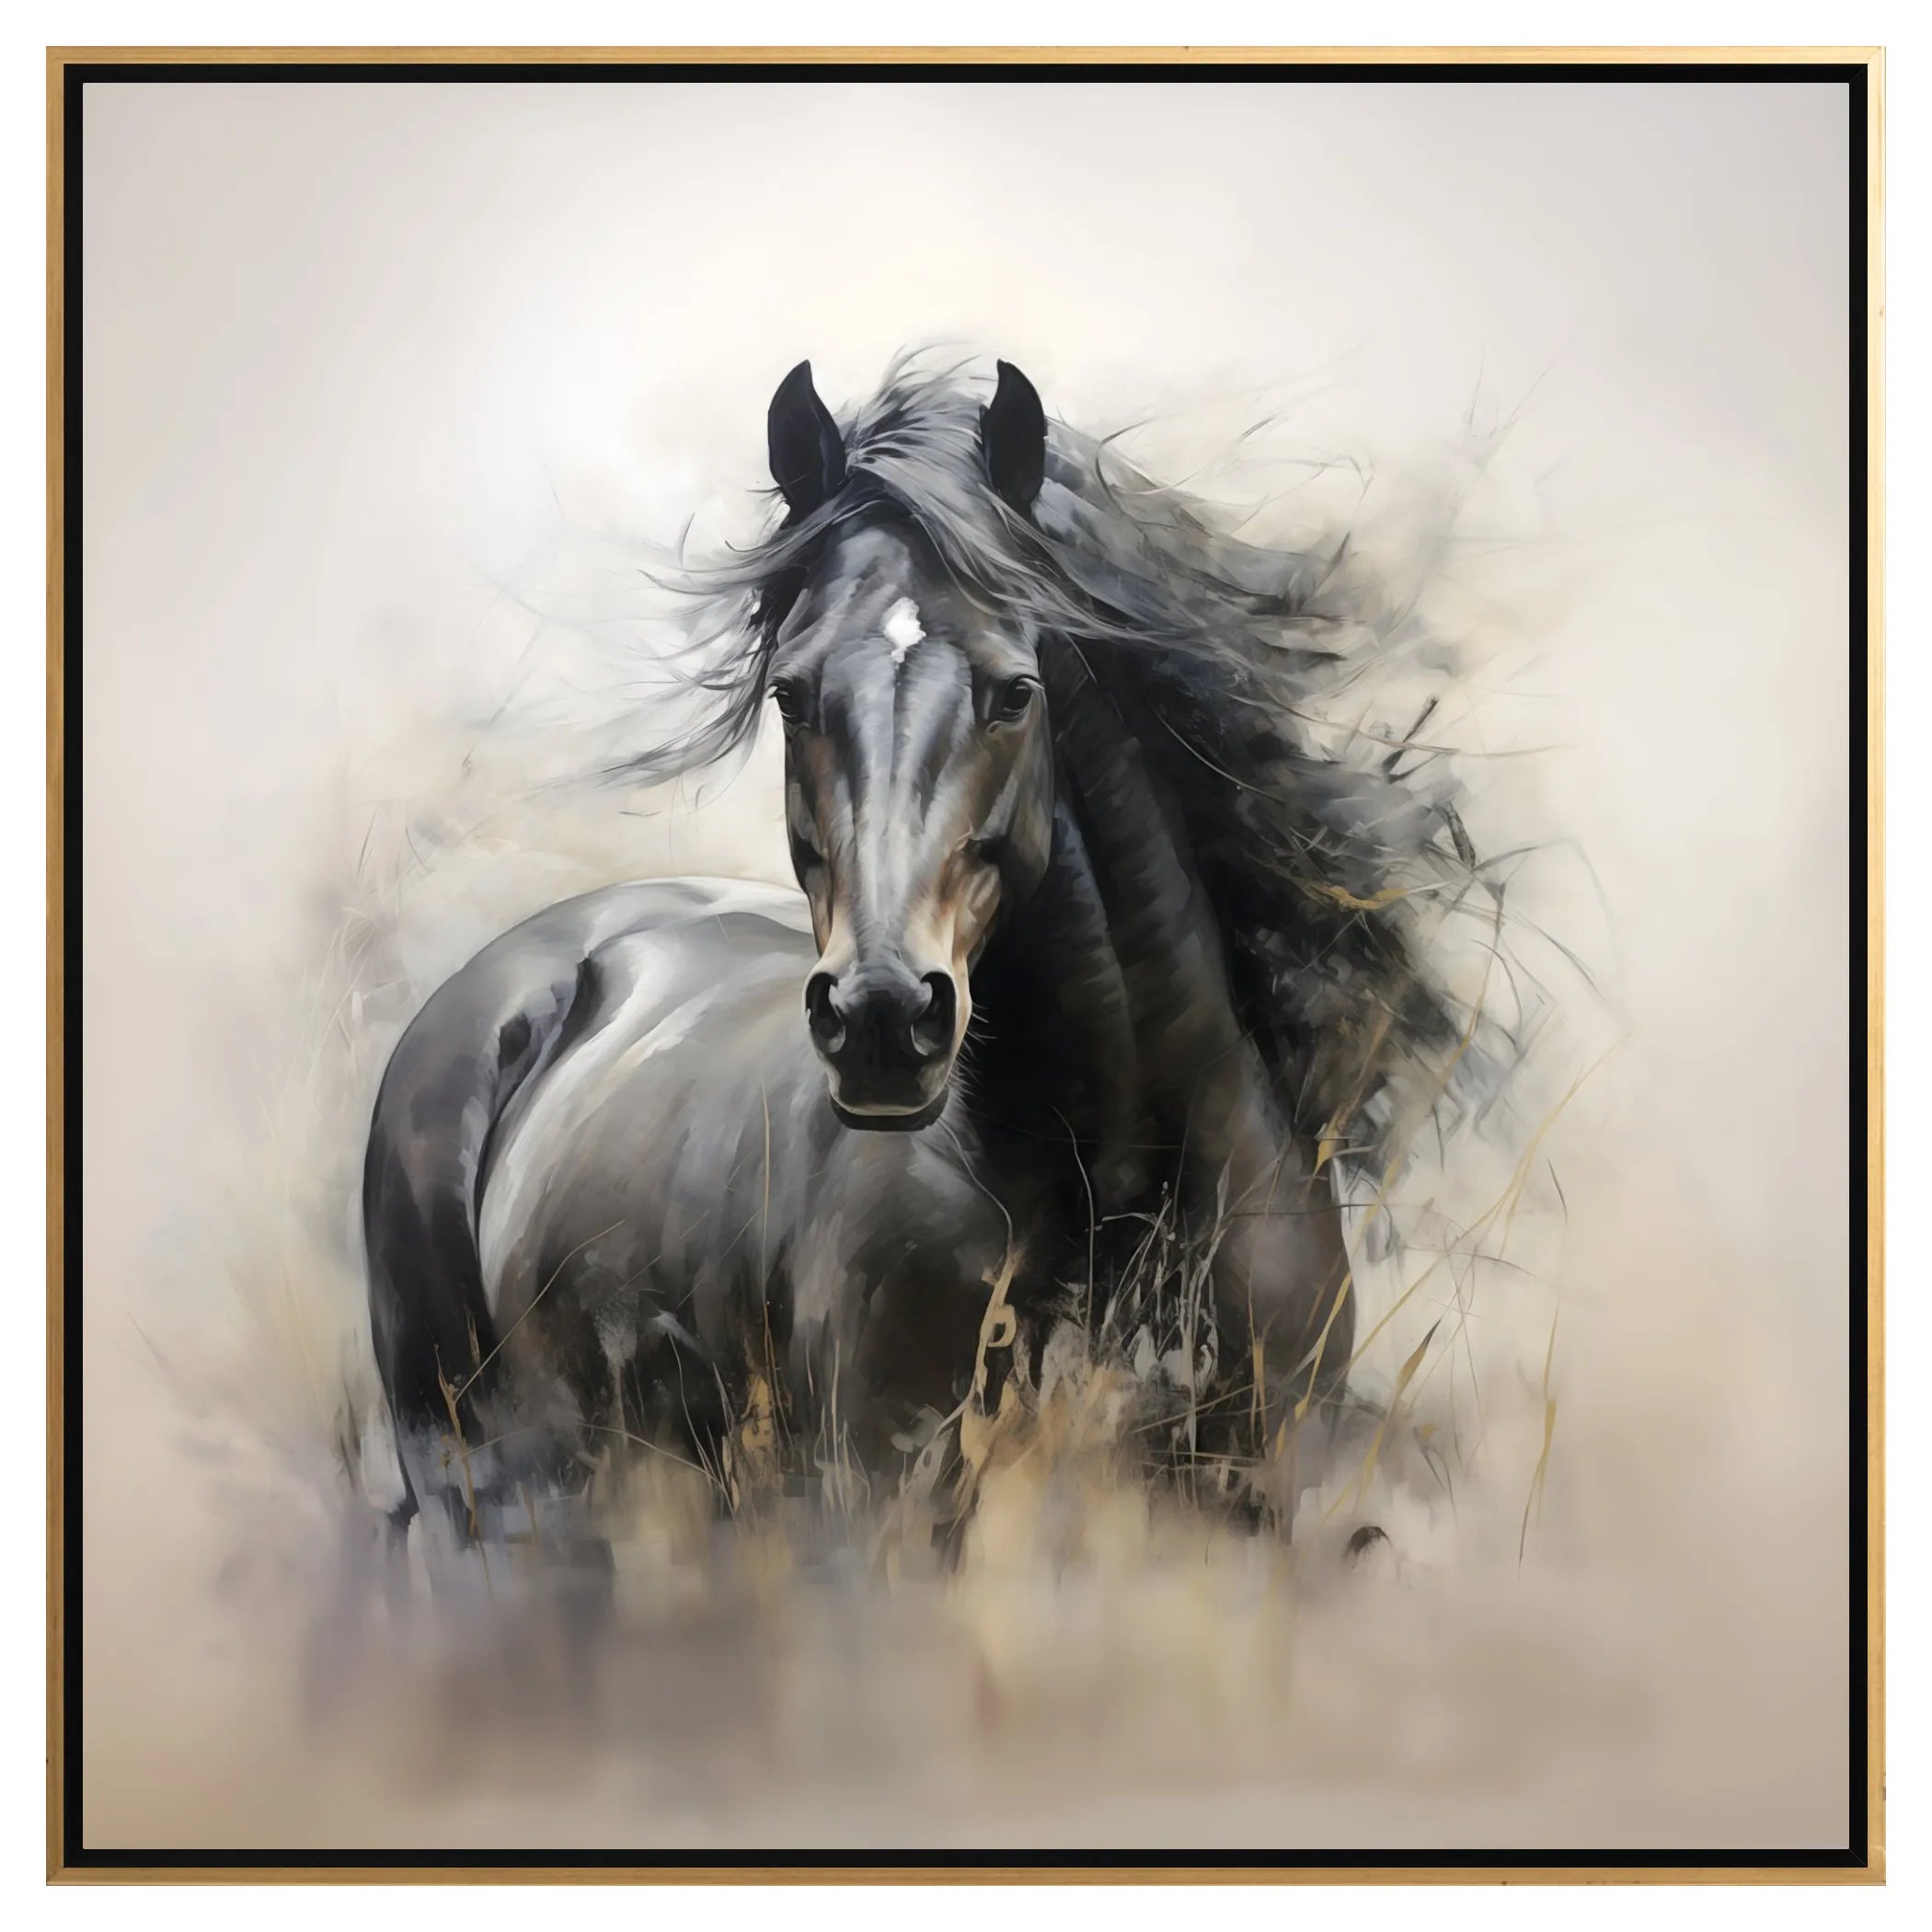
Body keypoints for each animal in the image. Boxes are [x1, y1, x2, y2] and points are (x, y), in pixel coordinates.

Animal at [361, 356, 1472, 1555]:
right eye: (792, 693)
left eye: (1015, 690)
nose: (884, 1022)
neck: (1103, 1189)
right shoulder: (884, 1503)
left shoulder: (1260, 1501)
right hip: (476, 1469)